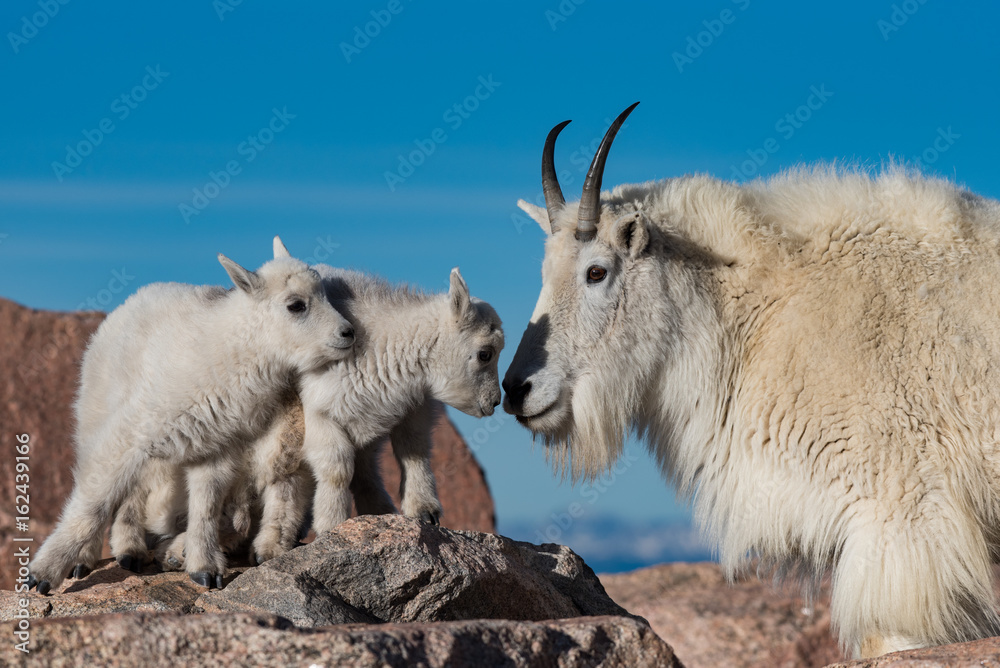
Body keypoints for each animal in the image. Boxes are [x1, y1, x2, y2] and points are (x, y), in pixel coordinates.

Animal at [28, 237, 356, 593]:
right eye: (296, 305)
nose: (349, 333)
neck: (232, 350)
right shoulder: (133, 431)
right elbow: (95, 501)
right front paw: (42, 573)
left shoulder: (215, 445)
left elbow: (206, 505)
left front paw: (204, 569)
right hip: (96, 410)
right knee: (101, 482)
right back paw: (91, 557)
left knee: (136, 491)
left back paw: (132, 551)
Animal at [150, 265, 504, 569]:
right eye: (485, 353)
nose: (495, 402)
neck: (384, 345)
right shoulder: (320, 414)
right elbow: (336, 469)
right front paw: (332, 526)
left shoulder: (409, 409)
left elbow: (412, 452)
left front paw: (423, 512)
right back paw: (185, 552)